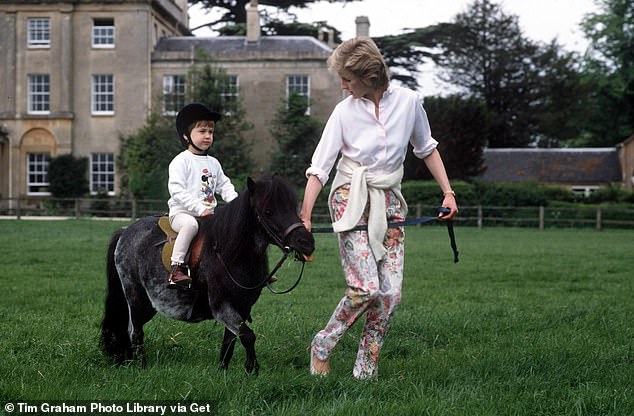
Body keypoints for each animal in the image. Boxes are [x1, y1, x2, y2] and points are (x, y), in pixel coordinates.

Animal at [99, 176, 314, 374]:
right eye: (268, 211)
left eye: (293, 207)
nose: (306, 243)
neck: (230, 254)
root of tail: (125, 231)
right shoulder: (221, 306)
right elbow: (247, 335)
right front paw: (252, 369)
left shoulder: (242, 307)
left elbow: (230, 341)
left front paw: (223, 372)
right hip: (135, 297)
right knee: (135, 331)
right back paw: (141, 366)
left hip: (148, 304)